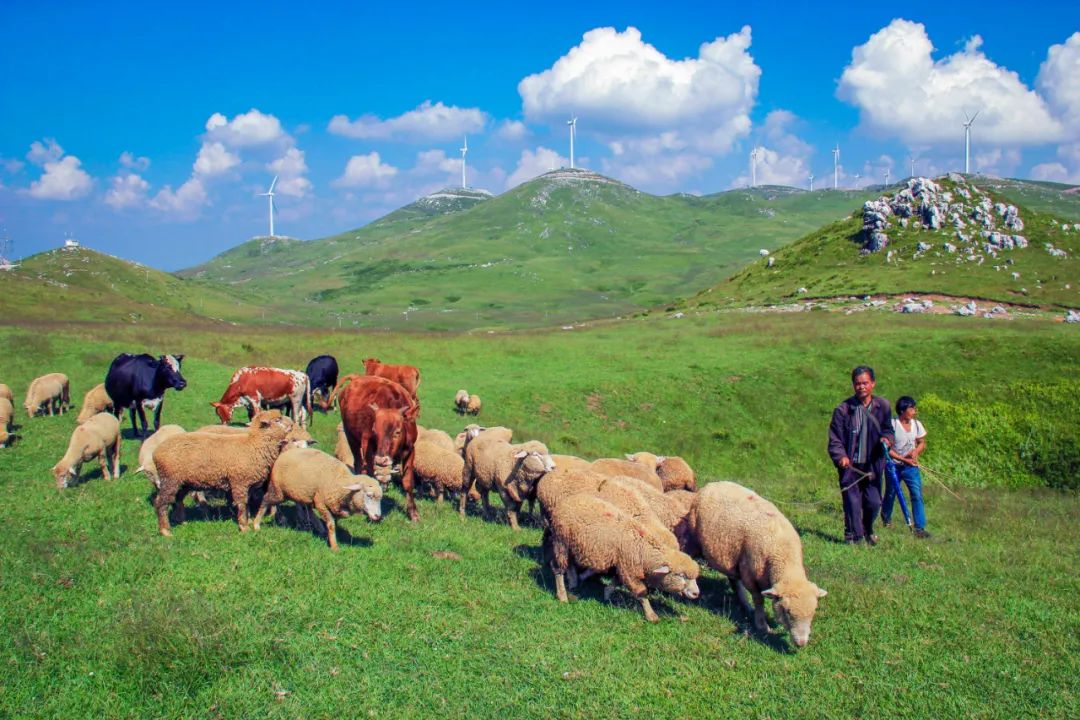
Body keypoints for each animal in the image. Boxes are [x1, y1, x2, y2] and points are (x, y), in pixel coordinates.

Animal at [152, 410, 293, 535]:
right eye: (277, 420)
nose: (292, 425)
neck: (254, 444)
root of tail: (156, 452)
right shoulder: (239, 482)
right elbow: (242, 504)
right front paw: (244, 527)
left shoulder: (248, 484)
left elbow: (246, 504)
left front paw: (247, 521)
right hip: (170, 479)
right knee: (161, 502)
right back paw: (165, 530)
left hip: (183, 482)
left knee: (178, 500)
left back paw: (181, 521)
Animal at [253, 444, 384, 552]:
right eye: (369, 495)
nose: (378, 516)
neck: (340, 481)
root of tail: (285, 453)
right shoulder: (321, 503)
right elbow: (331, 524)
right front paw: (334, 546)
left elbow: (332, 523)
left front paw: (329, 536)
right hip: (279, 491)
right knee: (266, 500)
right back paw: (256, 524)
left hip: (305, 494)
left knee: (307, 510)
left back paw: (317, 527)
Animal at [336, 375, 421, 520]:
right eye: (375, 431)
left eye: (397, 432)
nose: (381, 460)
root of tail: (357, 377)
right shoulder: (368, 448)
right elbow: (371, 476)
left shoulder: (410, 450)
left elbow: (408, 482)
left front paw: (413, 513)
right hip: (351, 437)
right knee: (358, 463)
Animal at [548, 492, 699, 621]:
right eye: (681, 575)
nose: (696, 594)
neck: (643, 548)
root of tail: (566, 500)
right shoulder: (628, 567)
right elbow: (641, 592)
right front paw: (651, 615)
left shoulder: (622, 564)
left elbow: (616, 580)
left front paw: (607, 593)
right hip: (560, 540)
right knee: (557, 568)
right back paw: (562, 595)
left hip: (572, 544)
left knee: (570, 563)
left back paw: (573, 581)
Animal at [691, 483, 825, 647]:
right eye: (787, 611)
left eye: (813, 612)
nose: (801, 643)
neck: (783, 552)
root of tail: (713, 484)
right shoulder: (749, 574)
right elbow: (759, 600)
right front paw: (762, 625)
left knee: (733, 579)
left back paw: (745, 604)